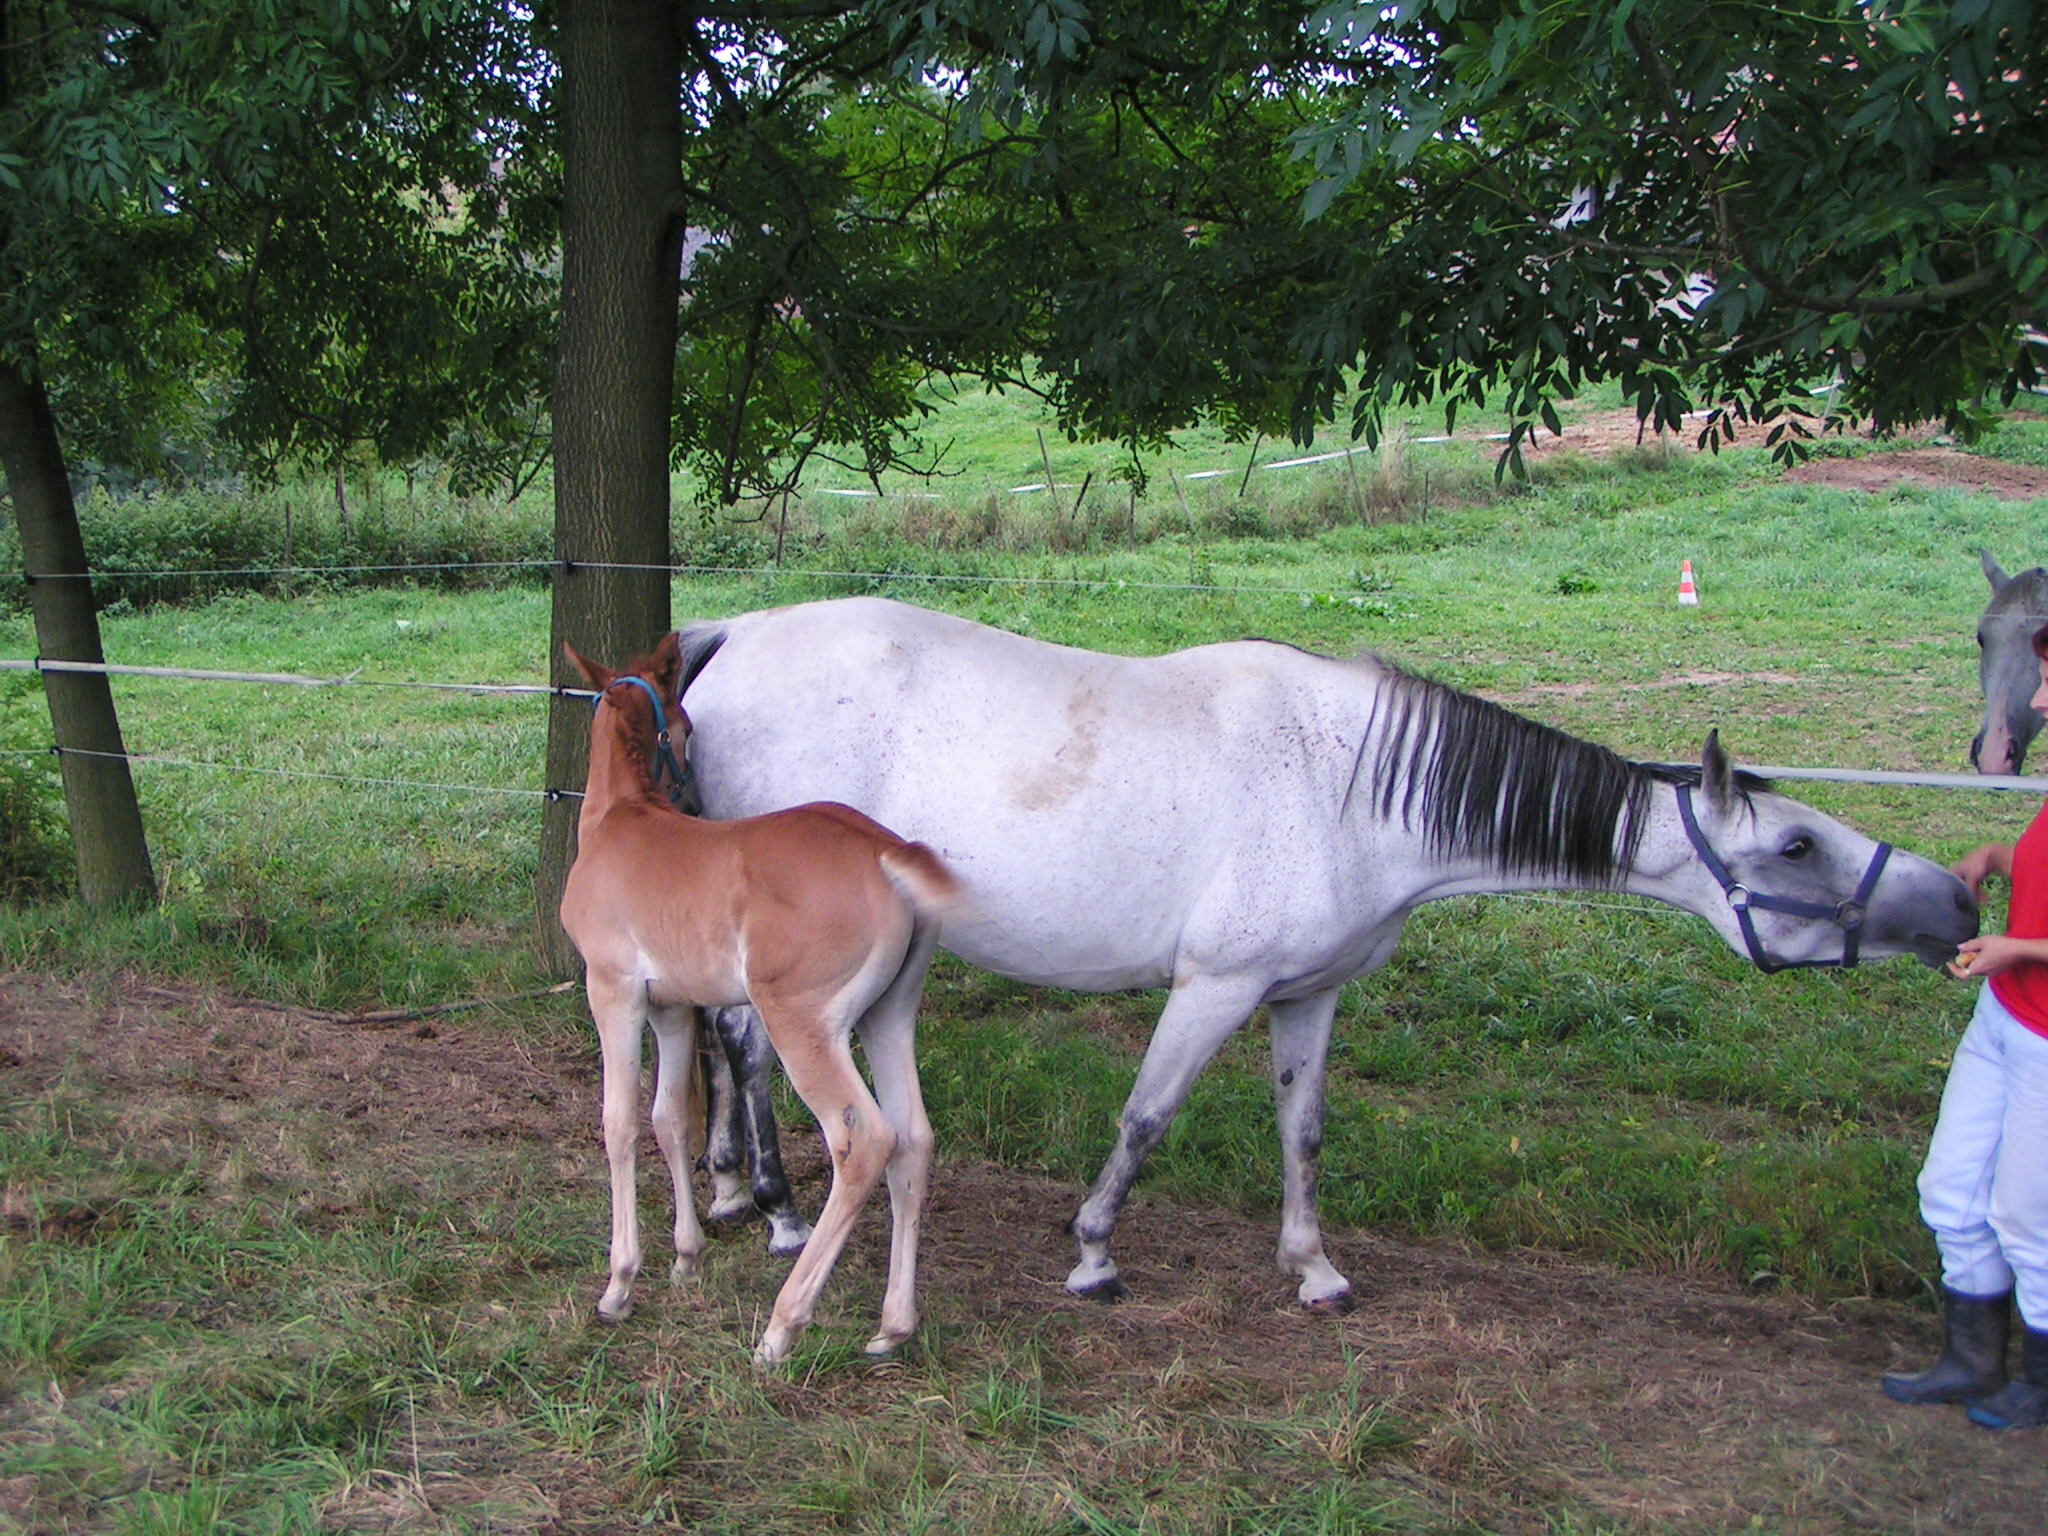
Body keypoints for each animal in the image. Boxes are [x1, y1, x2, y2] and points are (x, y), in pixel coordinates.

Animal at [552, 638, 950, 1368]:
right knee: (913, 1138)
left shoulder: (612, 990)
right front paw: (685, 1258)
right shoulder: (671, 1007)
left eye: (685, 724)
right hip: (888, 1015)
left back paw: (782, 1326)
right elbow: (670, 1120)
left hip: (802, 1023)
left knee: (864, 1141)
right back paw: (892, 1326)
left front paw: (620, 1284)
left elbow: (620, 1122)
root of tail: (887, 852)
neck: (620, 819)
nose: (692, 794)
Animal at [663, 598, 1974, 1310]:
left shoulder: (1308, 996)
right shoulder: (1217, 987)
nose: (1953, 902)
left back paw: (735, 1193)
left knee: (732, 1051)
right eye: (1796, 844)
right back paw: (774, 1211)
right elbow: (1147, 1117)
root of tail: (736, 636)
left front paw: (1313, 1270)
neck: (1348, 785)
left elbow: (1301, 1131)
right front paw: (1092, 1256)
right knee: (746, 1049)